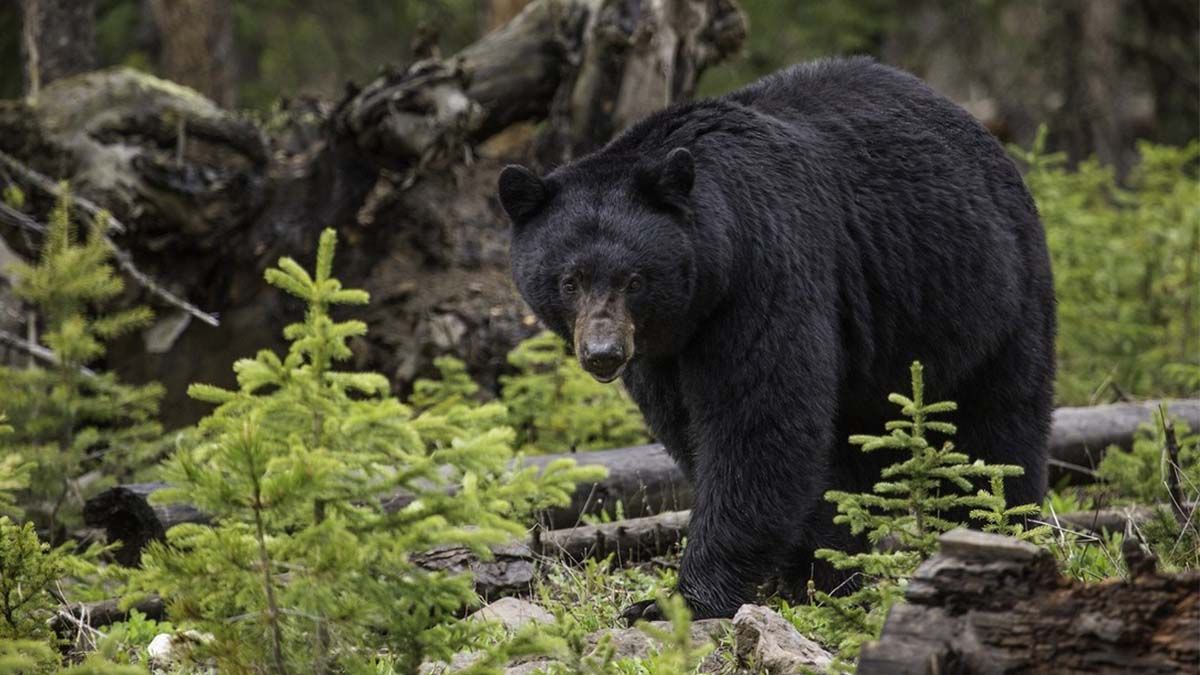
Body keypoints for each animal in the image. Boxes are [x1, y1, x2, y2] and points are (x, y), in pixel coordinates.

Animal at [498, 56, 1055, 621]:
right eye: (569, 280)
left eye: (634, 279)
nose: (603, 354)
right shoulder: (664, 351)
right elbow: (692, 429)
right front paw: (806, 571)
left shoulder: (765, 272)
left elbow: (759, 423)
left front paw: (680, 600)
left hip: (989, 297)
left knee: (997, 428)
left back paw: (996, 530)